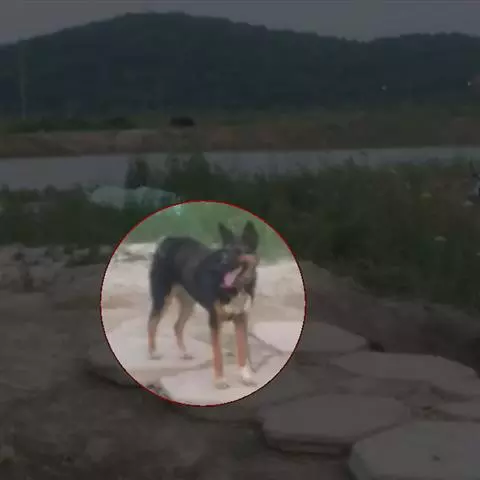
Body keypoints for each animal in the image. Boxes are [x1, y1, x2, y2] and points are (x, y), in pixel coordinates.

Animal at [147, 221, 259, 390]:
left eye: (238, 251)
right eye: (225, 252)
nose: (223, 263)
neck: (236, 288)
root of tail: (169, 239)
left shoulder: (241, 319)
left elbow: (242, 350)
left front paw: (246, 375)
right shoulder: (214, 321)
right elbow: (218, 354)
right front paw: (220, 380)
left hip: (188, 303)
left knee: (177, 326)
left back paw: (184, 353)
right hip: (163, 298)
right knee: (152, 322)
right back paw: (152, 352)